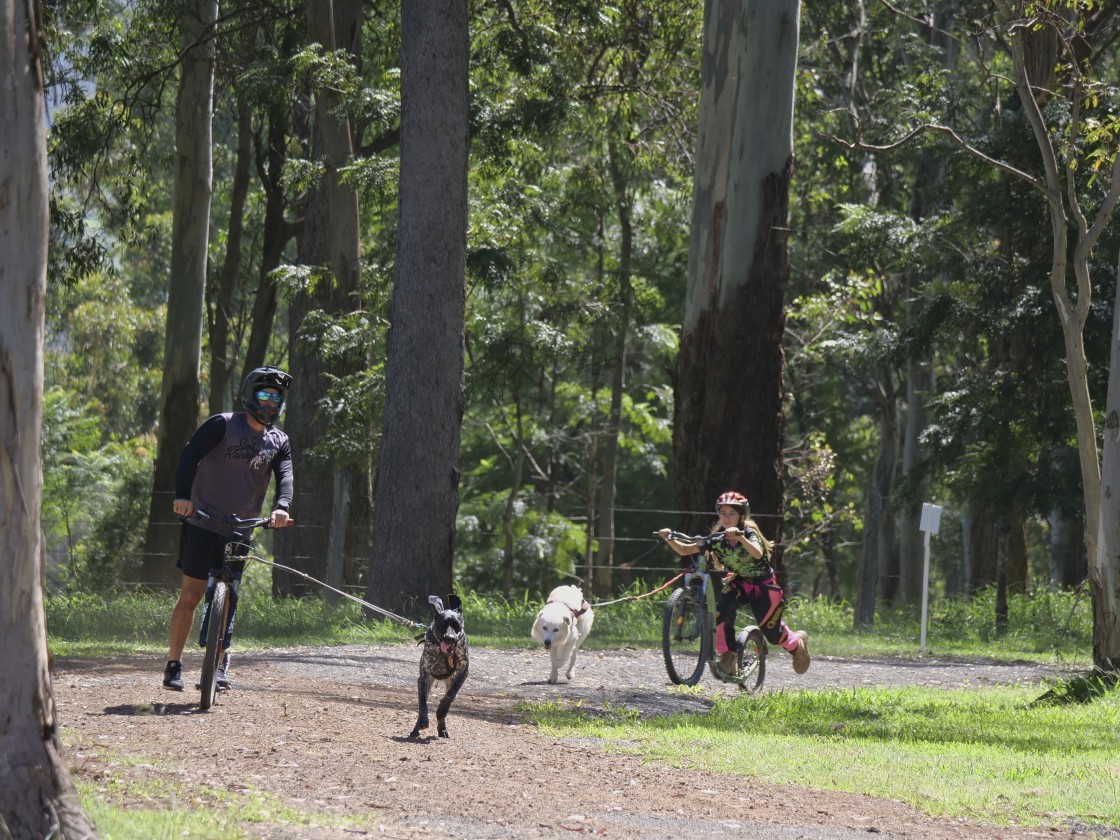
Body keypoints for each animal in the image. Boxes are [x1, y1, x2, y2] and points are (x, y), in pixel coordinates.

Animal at [407, 595, 468, 739]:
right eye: (442, 624)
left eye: (457, 626)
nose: (449, 638)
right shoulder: (424, 678)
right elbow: (422, 702)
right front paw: (423, 720)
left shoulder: (464, 670)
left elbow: (450, 696)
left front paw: (441, 711)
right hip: (429, 682)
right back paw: (416, 729)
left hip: (449, 680)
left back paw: (442, 729)